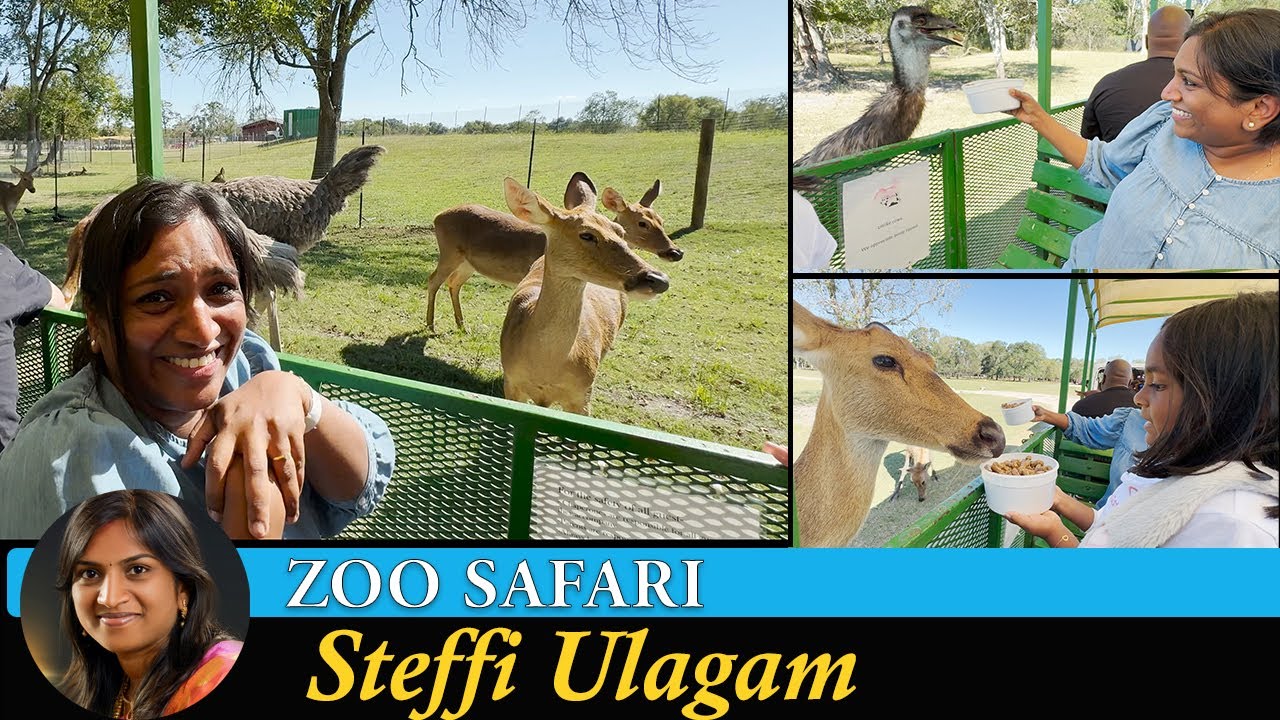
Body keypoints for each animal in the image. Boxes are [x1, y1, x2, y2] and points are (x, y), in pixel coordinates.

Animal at [427, 174, 682, 332]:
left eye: (660, 219)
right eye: (642, 223)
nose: (675, 252)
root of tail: (437, 217)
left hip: (467, 264)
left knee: (453, 284)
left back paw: (462, 325)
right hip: (449, 254)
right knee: (433, 280)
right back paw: (430, 325)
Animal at [499, 176, 670, 415]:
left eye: (620, 232)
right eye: (587, 234)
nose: (658, 279)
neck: (546, 366)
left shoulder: (583, 395)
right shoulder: (512, 383)